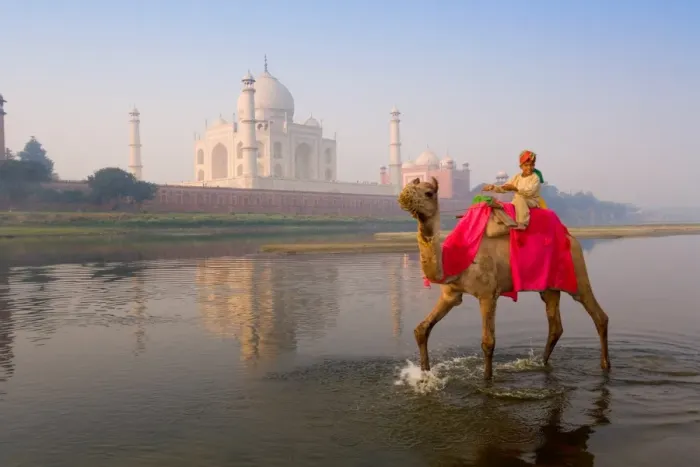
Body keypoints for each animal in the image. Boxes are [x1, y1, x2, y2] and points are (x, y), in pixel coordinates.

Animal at [398, 177, 610, 379]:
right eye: (408, 186)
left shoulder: (488, 294)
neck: (457, 258)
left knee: (598, 315)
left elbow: (488, 342)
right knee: (555, 325)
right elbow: (421, 329)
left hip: (578, 271)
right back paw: (542, 363)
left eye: (429, 192)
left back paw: (605, 366)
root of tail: (571, 237)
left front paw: (487, 379)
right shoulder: (451, 295)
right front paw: (424, 374)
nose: (404, 195)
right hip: (549, 287)